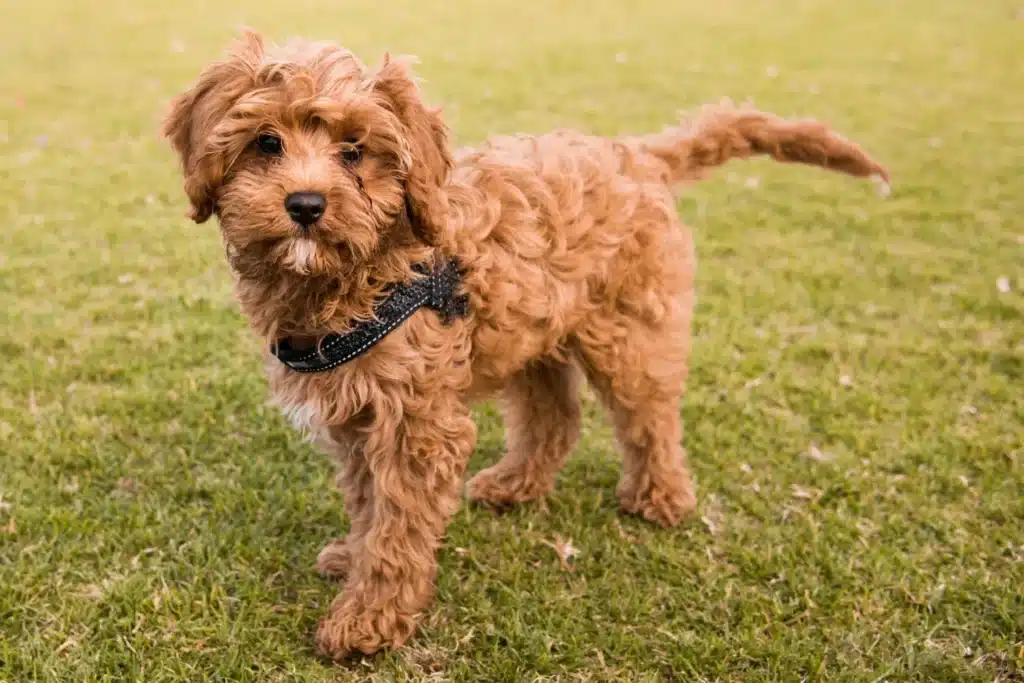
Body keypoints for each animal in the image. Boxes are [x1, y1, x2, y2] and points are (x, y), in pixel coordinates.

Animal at [165, 29, 888, 659]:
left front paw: (369, 619)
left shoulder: (416, 422)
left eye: (354, 149)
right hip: (534, 331)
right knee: (555, 416)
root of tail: (637, 155)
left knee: (650, 415)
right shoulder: (358, 411)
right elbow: (371, 502)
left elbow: (398, 524)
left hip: (628, 328)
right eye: (266, 142)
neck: (368, 273)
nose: (306, 204)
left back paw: (660, 498)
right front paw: (354, 556)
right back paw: (516, 485)